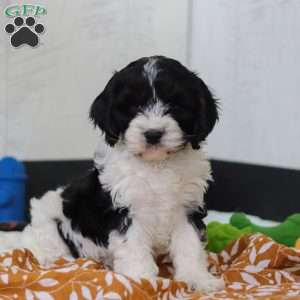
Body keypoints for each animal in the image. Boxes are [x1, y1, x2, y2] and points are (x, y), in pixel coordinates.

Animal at [0, 56, 224, 292]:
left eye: (175, 105)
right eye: (133, 107)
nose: (153, 134)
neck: (156, 165)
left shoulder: (187, 208)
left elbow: (190, 246)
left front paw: (199, 279)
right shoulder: (124, 210)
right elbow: (134, 248)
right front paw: (141, 281)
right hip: (51, 226)